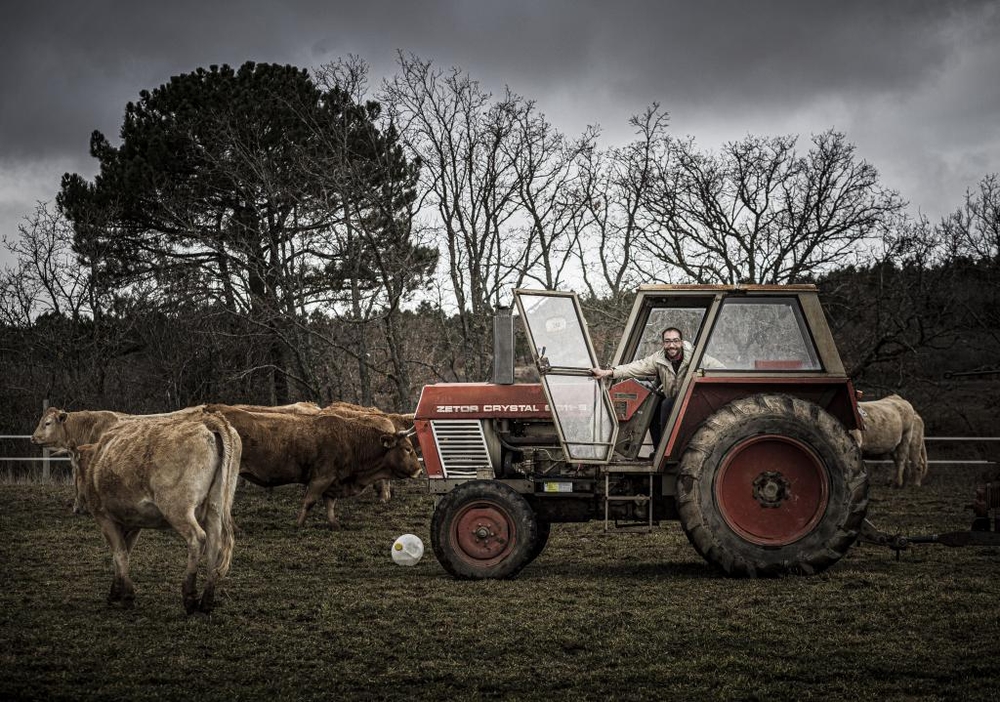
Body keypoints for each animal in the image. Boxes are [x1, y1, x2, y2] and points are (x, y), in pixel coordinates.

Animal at [71, 412, 241, 616]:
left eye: (74, 471)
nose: (76, 507)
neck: (96, 461)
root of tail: (208, 421)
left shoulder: (104, 517)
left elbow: (120, 553)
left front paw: (126, 596)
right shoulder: (133, 522)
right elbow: (123, 553)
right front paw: (116, 592)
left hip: (177, 508)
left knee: (197, 538)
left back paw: (190, 597)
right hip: (215, 508)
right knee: (214, 547)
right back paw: (207, 601)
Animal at [203, 404, 422, 532]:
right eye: (407, 449)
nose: (419, 470)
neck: (351, 440)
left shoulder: (333, 481)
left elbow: (330, 504)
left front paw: (334, 524)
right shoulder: (322, 477)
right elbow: (309, 501)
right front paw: (298, 524)